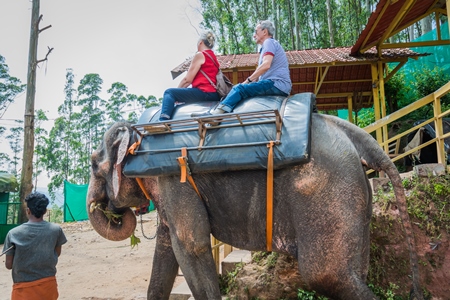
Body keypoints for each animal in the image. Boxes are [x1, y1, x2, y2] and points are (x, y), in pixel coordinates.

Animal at [87, 102, 422, 298]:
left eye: (92, 164)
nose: (113, 211)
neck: (137, 133)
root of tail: (355, 133)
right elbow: (167, 251)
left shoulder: (174, 179)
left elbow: (192, 246)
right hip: (354, 194)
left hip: (326, 191)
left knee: (326, 275)